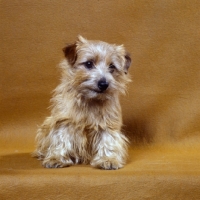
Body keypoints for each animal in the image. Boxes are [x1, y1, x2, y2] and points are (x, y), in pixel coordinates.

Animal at [34, 35, 131, 169]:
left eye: (112, 67)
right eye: (89, 63)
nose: (103, 83)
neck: (89, 100)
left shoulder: (108, 123)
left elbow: (108, 140)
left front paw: (108, 159)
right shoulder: (64, 121)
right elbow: (61, 139)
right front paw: (56, 158)